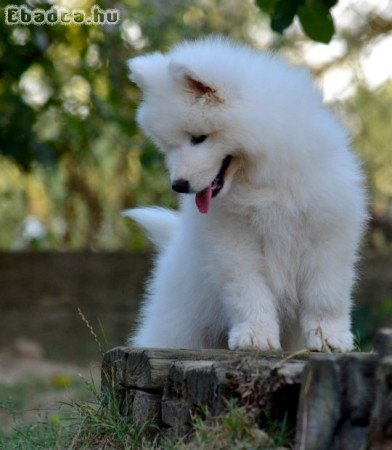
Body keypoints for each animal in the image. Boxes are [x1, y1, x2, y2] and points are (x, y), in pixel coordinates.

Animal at [125, 36, 368, 352]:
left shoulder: (327, 235)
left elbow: (326, 294)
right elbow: (248, 292)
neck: (262, 180)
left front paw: (329, 337)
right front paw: (255, 337)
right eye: (169, 145)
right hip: (179, 328)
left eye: (198, 138)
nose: (178, 185)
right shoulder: (235, 243)